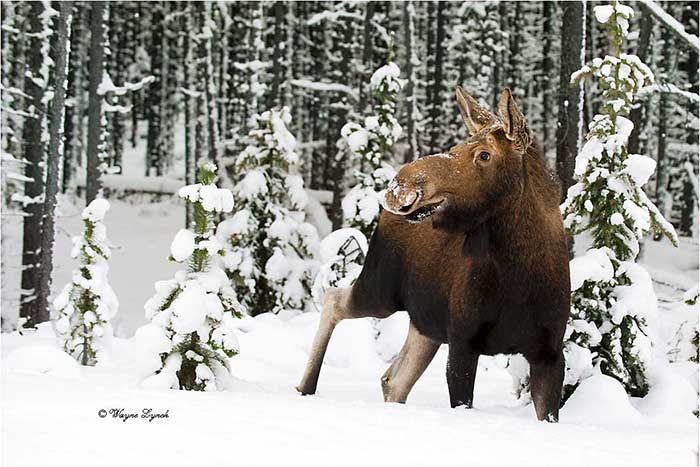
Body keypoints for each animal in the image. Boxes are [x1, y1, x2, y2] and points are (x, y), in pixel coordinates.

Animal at [297, 87, 571, 422]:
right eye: (460, 144)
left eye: (484, 154)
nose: (401, 185)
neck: (518, 274)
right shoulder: (463, 341)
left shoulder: (550, 353)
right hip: (381, 290)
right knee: (334, 298)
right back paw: (306, 386)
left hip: (425, 324)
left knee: (393, 379)